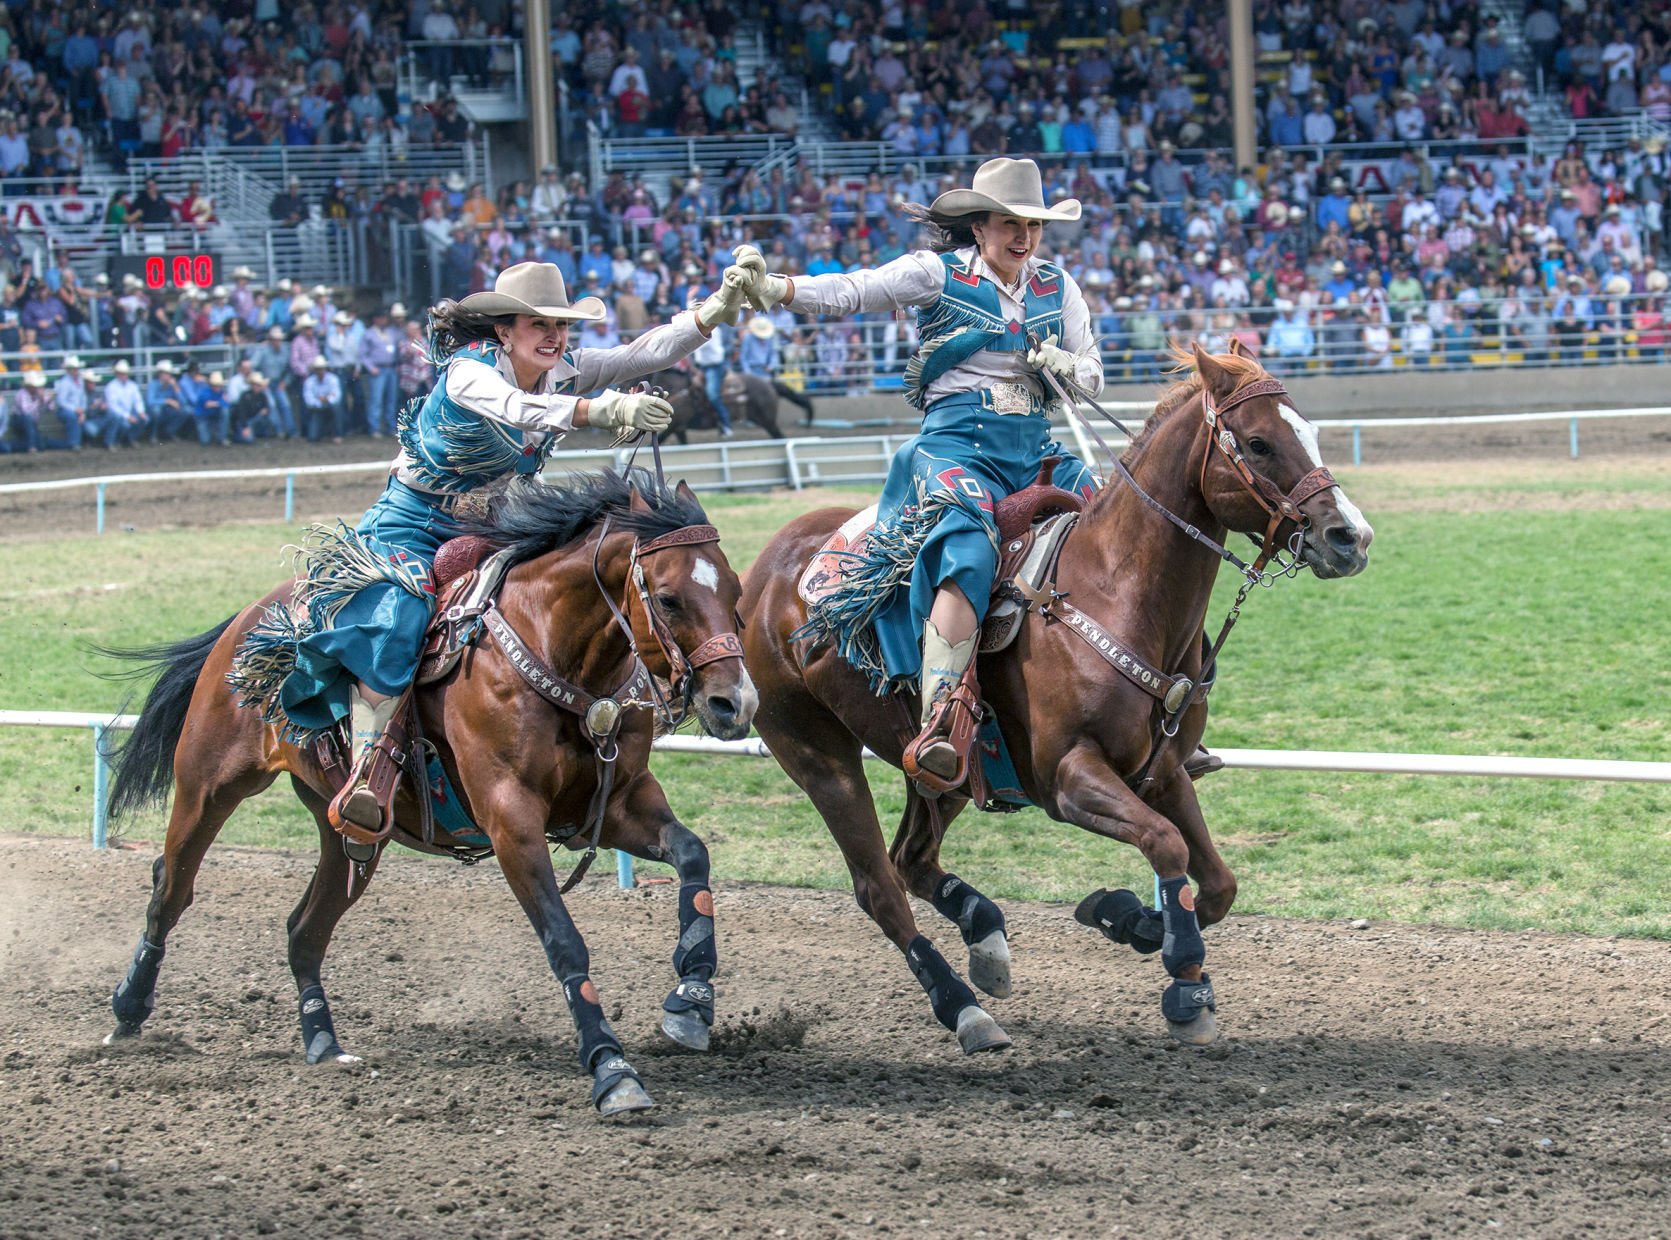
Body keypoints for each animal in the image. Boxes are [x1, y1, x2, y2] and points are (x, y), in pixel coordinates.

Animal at [101, 471, 755, 1123]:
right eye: (668, 599)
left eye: (736, 594)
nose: (735, 704)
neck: (558, 658)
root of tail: (249, 621)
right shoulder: (511, 820)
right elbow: (565, 942)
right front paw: (612, 1070)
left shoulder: (620, 804)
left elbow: (693, 855)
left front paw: (692, 999)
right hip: (208, 787)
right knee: (171, 889)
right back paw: (128, 1010)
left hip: (351, 838)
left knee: (303, 929)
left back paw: (324, 1042)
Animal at [745, 349, 1370, 1056]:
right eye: (1259, 443)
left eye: (1310, 431)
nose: (1350, 537)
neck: (1115, 590)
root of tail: (767, 567)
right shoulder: (1070, 777)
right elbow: (1167, 847)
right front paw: (1184, 986)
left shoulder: (1162, 771)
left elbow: (1215, 884)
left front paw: (1130, 919)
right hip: (819, 759)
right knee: (879, 886)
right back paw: (964, 1010)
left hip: (944, 774)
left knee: (913, 858)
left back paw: (986, 941)